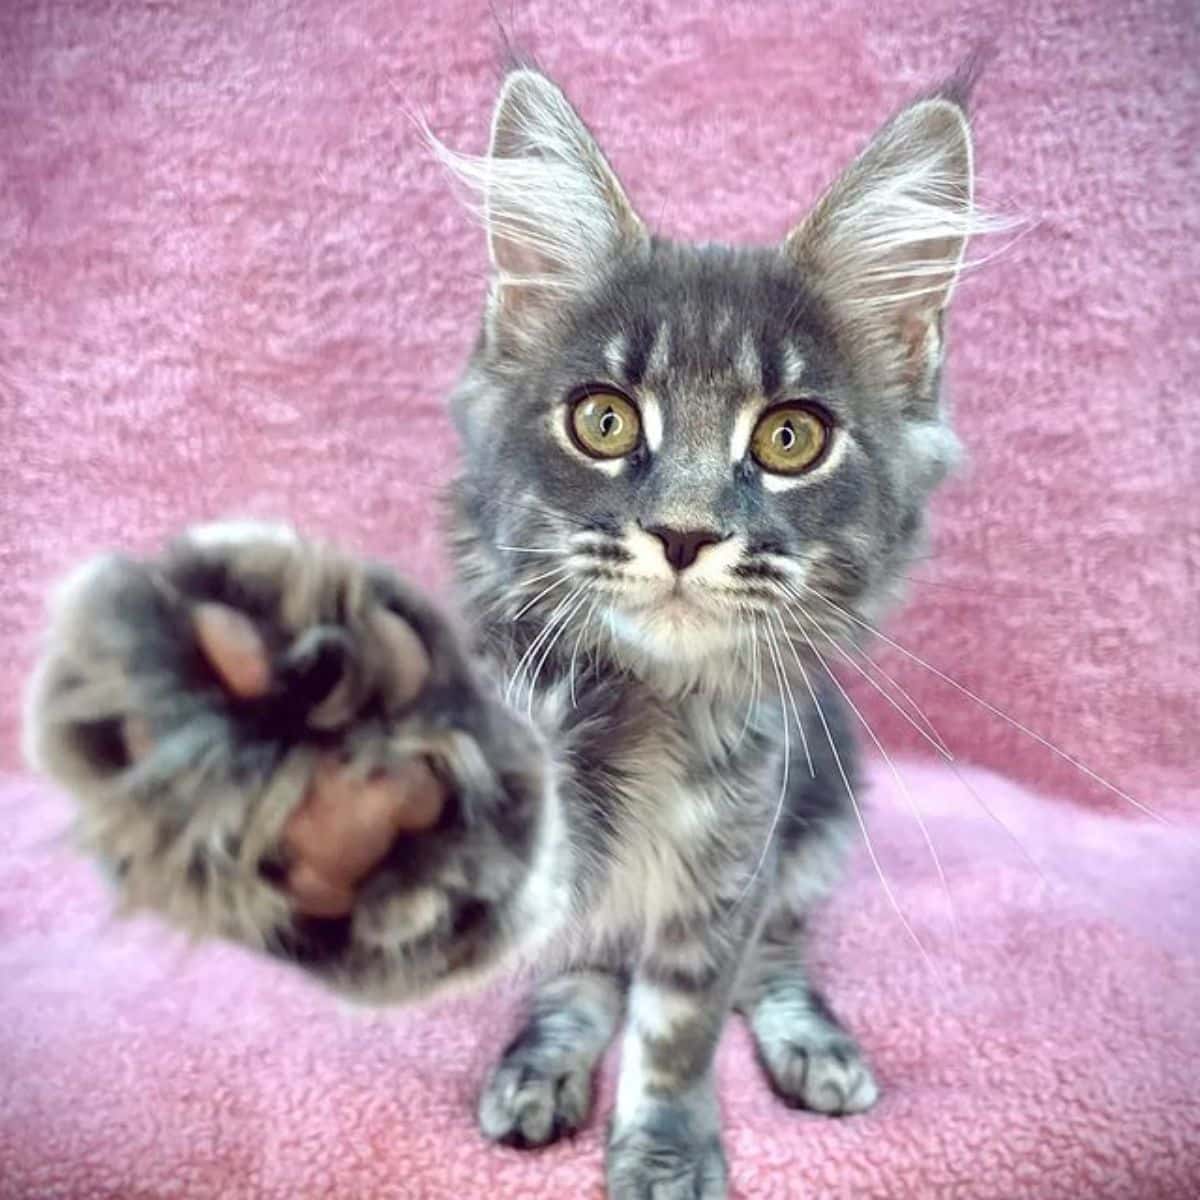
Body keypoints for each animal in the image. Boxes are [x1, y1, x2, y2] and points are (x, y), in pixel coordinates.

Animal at [25, 68, 993, 1200]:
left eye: (790, 437)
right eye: (605, 422)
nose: (684, 533)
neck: (652, 704)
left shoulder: (734, 858)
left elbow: (681, 1022)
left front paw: (667, 1149)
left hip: (822, 814)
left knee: (773, 955)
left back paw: (812, 1045)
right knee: (580, 971)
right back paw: (541, 1064)